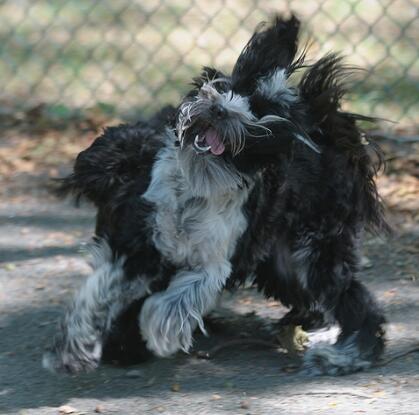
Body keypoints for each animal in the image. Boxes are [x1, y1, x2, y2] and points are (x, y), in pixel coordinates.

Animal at [43, 15, 388, 376]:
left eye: (259, 109)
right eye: (229, 88)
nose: (220, 110)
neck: (196, 184)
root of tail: (334, 135)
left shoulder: (211, 263)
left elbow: (176, 299)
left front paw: (157, 330)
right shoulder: (138, 249)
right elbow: (98, 295)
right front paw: (75, 346)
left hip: (317, 249)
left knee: (356, 303)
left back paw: (344, 355)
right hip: (280, 261)